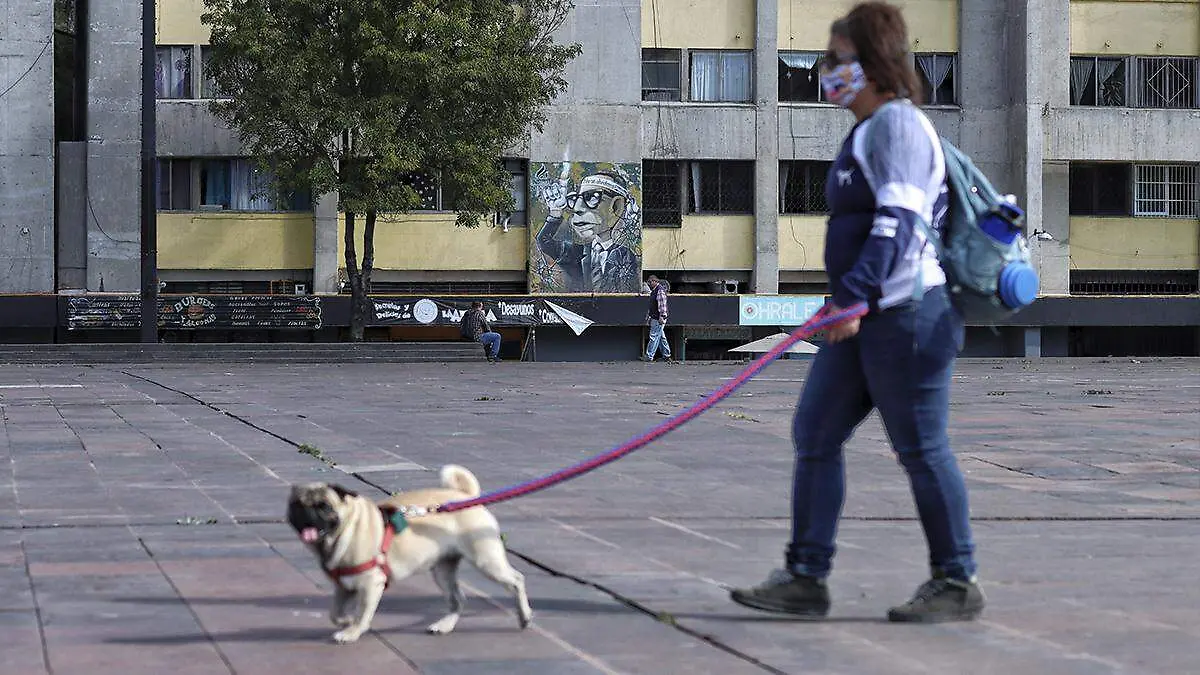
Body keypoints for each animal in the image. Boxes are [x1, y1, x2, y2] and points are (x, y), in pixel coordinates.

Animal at [285, 461, 530, 638]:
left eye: (324, 507)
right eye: (296, 505)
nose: (307, 514)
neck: (344, 531)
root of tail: (466, 497)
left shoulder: (370, 585)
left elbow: (362, 613)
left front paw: (352, 632)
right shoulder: (344, 588)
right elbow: (334, 613)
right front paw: (346, 621)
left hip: (485, 560)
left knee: (516, 580)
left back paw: (524, 616)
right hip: (442, 571)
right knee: (457, 599)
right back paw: (444, 626)